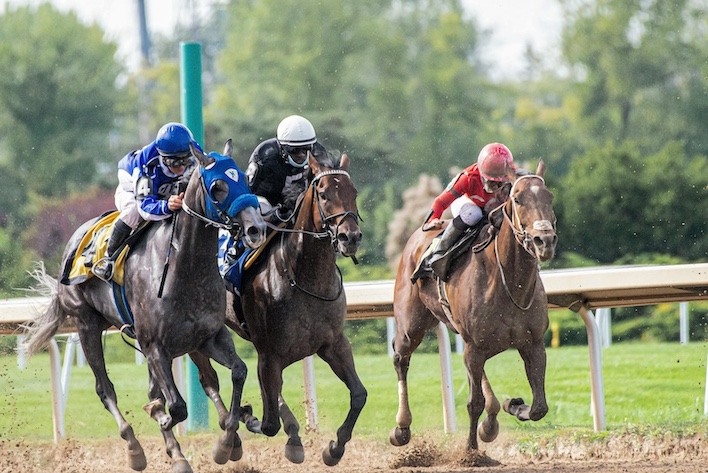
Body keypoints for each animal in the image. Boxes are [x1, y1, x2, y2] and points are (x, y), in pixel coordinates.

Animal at [22, 141, 267, 473]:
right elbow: (174, 406)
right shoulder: (155, 346)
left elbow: (238, 372)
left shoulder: (209, 337)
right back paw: (135, 447)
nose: (256, 229)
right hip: (86, 325)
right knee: (105, 388)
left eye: (244, 179)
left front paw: (227, 443)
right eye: (218, 186)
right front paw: (164, 426)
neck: (184, 268)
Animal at [189, 150, 367, 466]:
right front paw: (244, 418)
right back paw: (231, 434)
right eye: (323, 194)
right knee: (209, 380)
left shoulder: (334, 344)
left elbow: (359, 394)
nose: (350, 237)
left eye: (353, 192)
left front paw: (334, 449)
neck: (304, 278)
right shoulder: (269, 354)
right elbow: (268, 422)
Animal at [389, 161, 557, 463]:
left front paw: (513, 404)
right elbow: (473, 402)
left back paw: (490, 422)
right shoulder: (475, 346)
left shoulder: (533, 343)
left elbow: (539, 407)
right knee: (400, 357)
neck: (508, 281)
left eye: (549, 197)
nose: (544, 241)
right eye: (517, 199)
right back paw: (401, 427)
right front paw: (470, 452)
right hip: (411, 324)